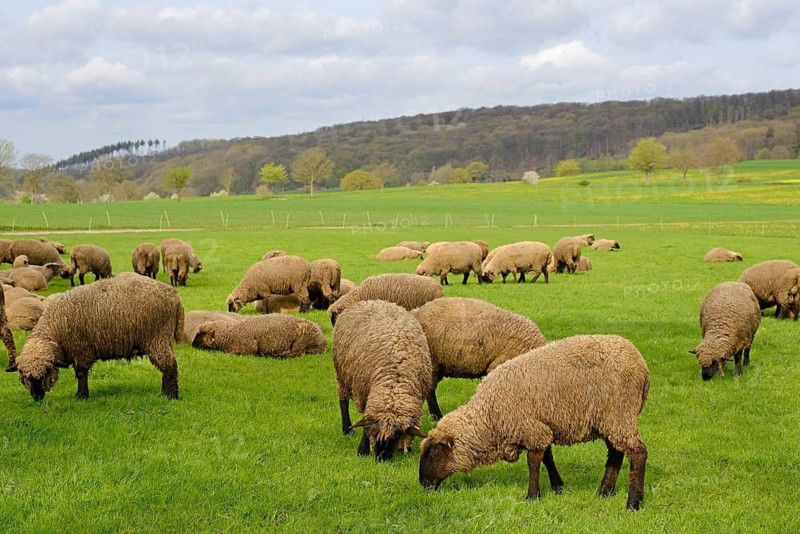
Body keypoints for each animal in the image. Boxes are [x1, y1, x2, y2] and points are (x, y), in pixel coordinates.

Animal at [9, 274, 183, 401]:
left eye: (45, 373)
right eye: (23, 376)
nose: (37, 397)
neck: (55, 329)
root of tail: (173, 295)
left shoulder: (81, 350)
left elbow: (81, 374)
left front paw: (81, 396)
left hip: (157, 337)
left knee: (169, 365)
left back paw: (171, 396)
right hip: (163, 338)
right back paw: (165, 393)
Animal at [333, 300, 432, 461]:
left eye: (397, 435)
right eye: (375, 432)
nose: (381, 459)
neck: (394, 380)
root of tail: (371, 300)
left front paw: (406, 447)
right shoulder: (367, 395)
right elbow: (365, 423)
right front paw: (363, 450)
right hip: (341, 375)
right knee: (343, 401)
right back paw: (347, 429)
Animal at [419, 334, 650, 511]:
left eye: (432, 453)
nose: (423, 484)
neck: (489, 418)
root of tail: (641, 363)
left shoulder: (530, 428)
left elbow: (533, 463)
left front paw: (532, 496)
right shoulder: (539, 427)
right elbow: (547, 458)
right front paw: (557, 487)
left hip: (619, 413)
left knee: (638, 453)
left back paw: (633, 503)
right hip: (611, 419)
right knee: (616, 453)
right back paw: (604, 491)